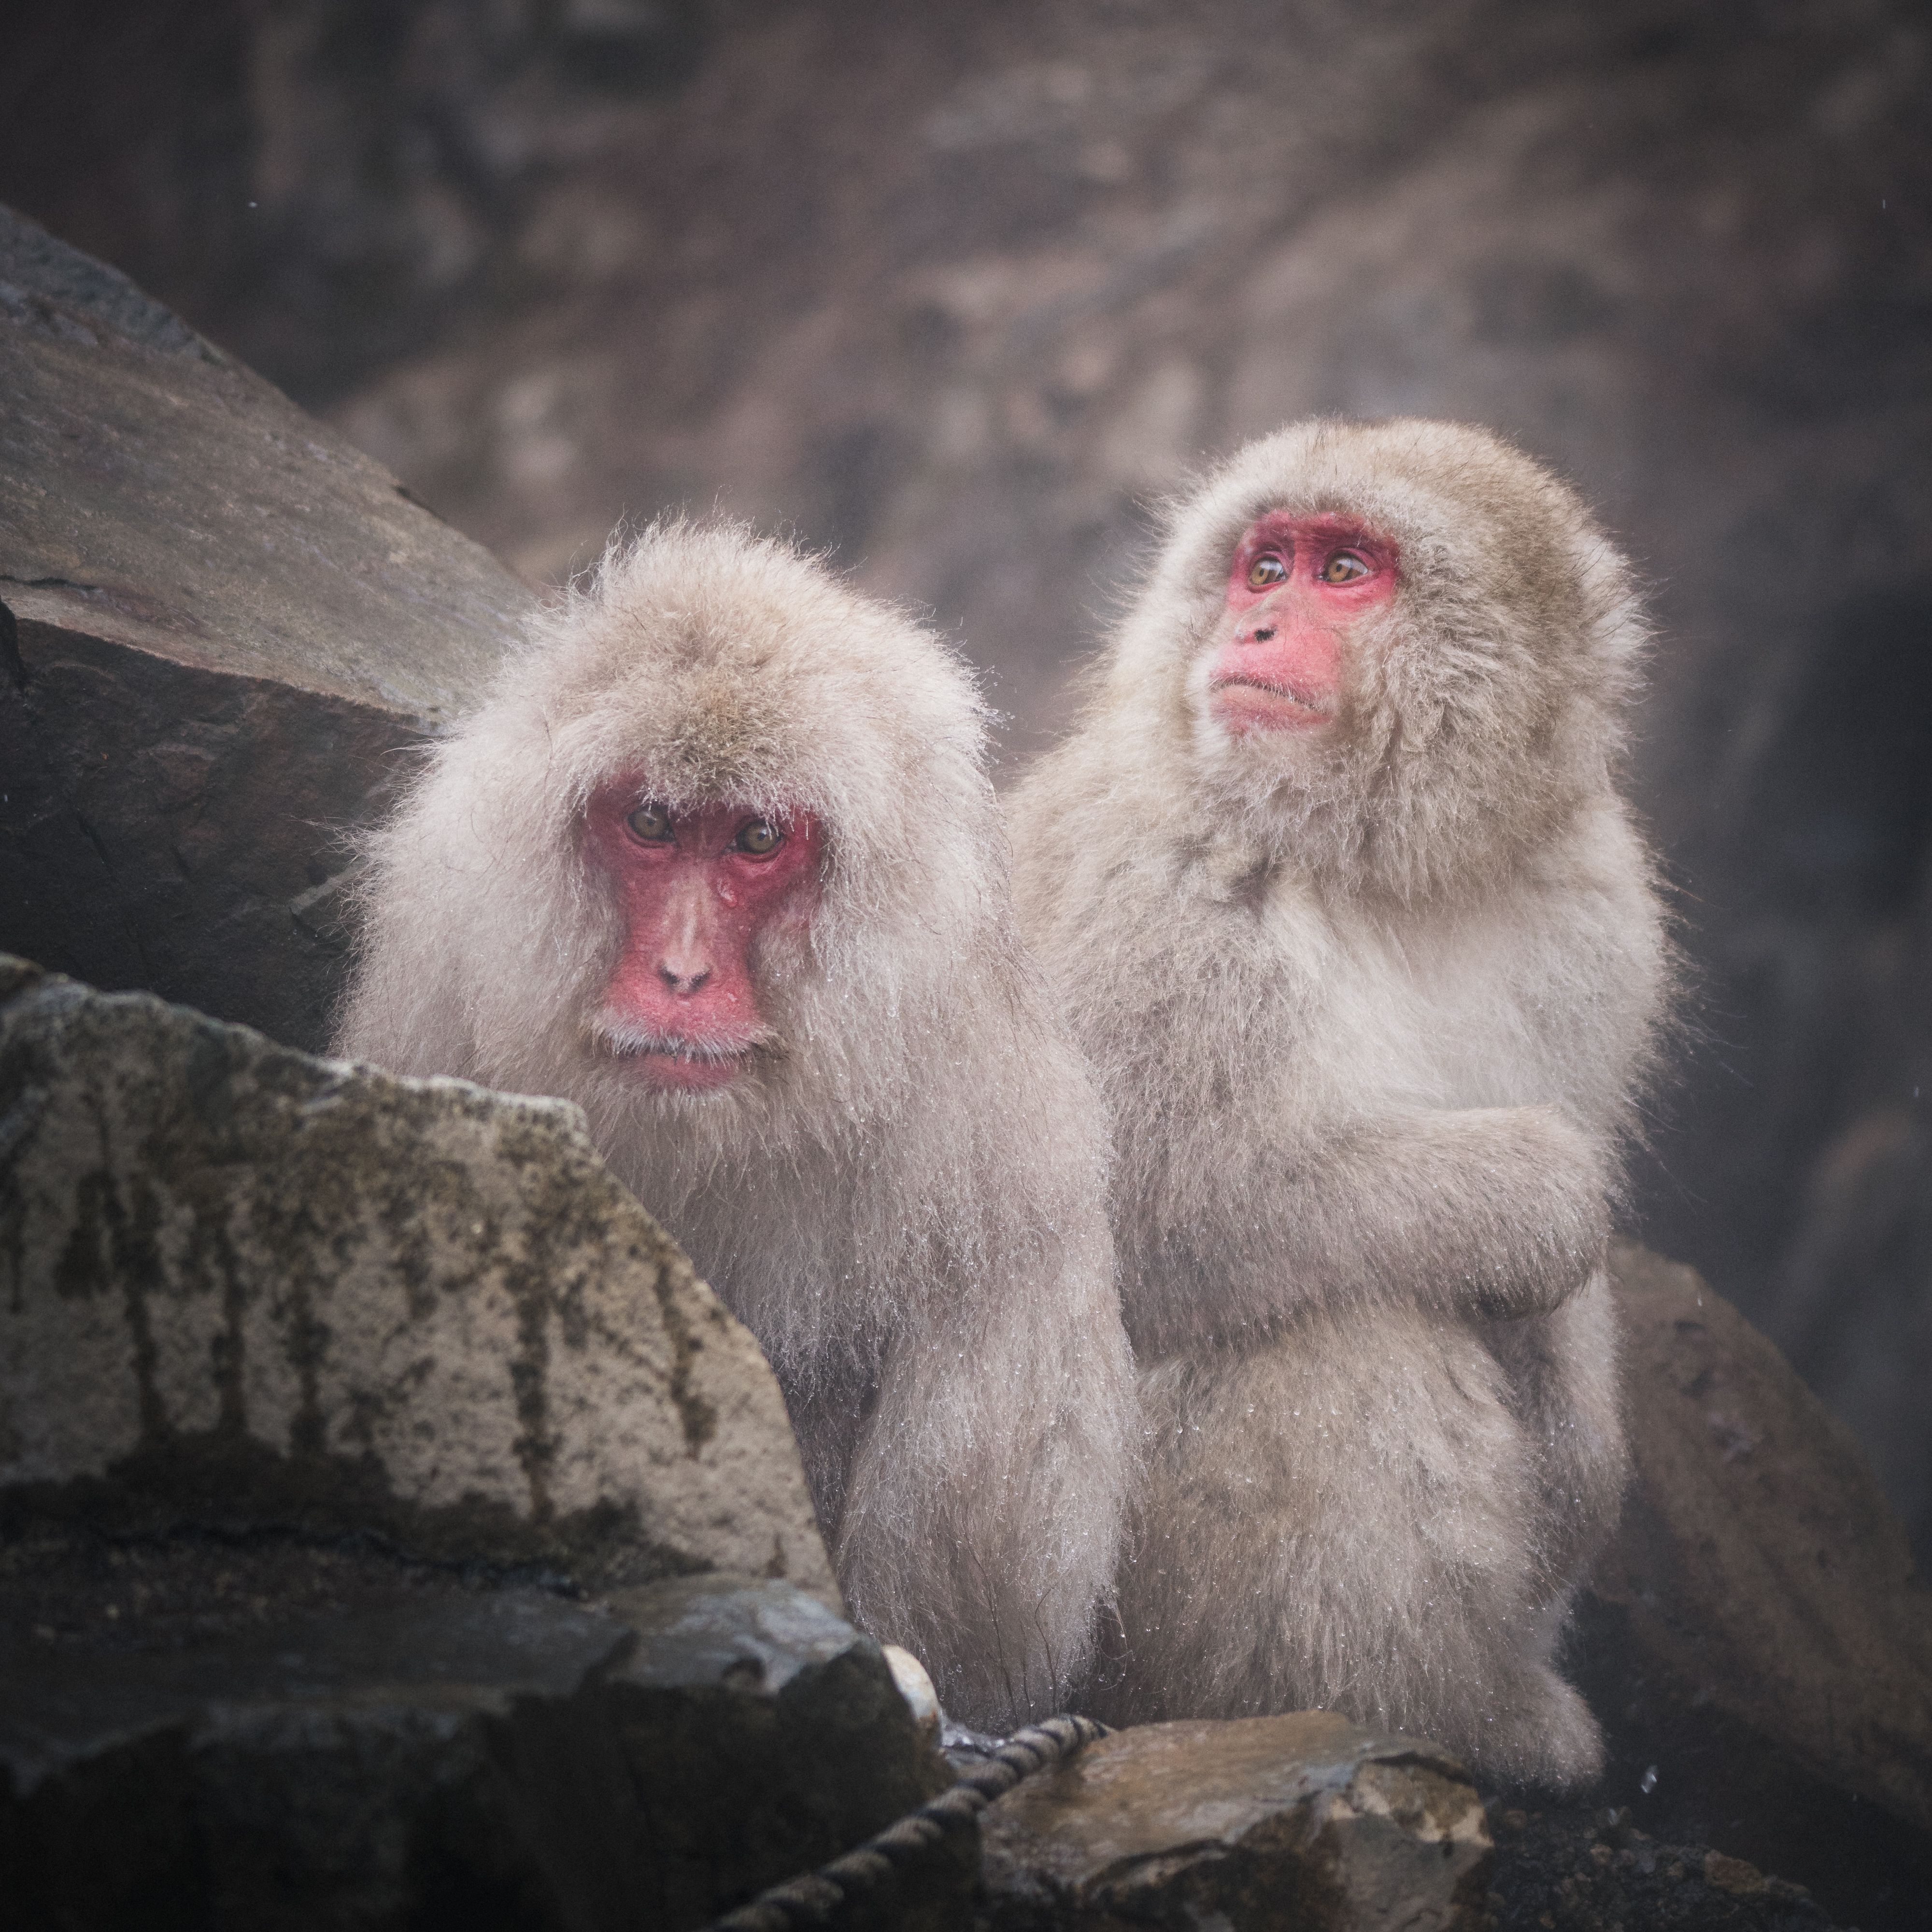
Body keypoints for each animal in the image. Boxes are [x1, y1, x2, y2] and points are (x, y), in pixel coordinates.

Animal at [1006, 418, 1670, 1787]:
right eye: (1265, 567)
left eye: (1346, 570)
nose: (1254, 627)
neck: (1384, 866)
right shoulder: (1150, 885)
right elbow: (1145, 1225)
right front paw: (1533, 1199)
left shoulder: (1595, 908)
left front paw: (1586, 1458)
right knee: (1331, 1323)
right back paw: (1429, 1712)